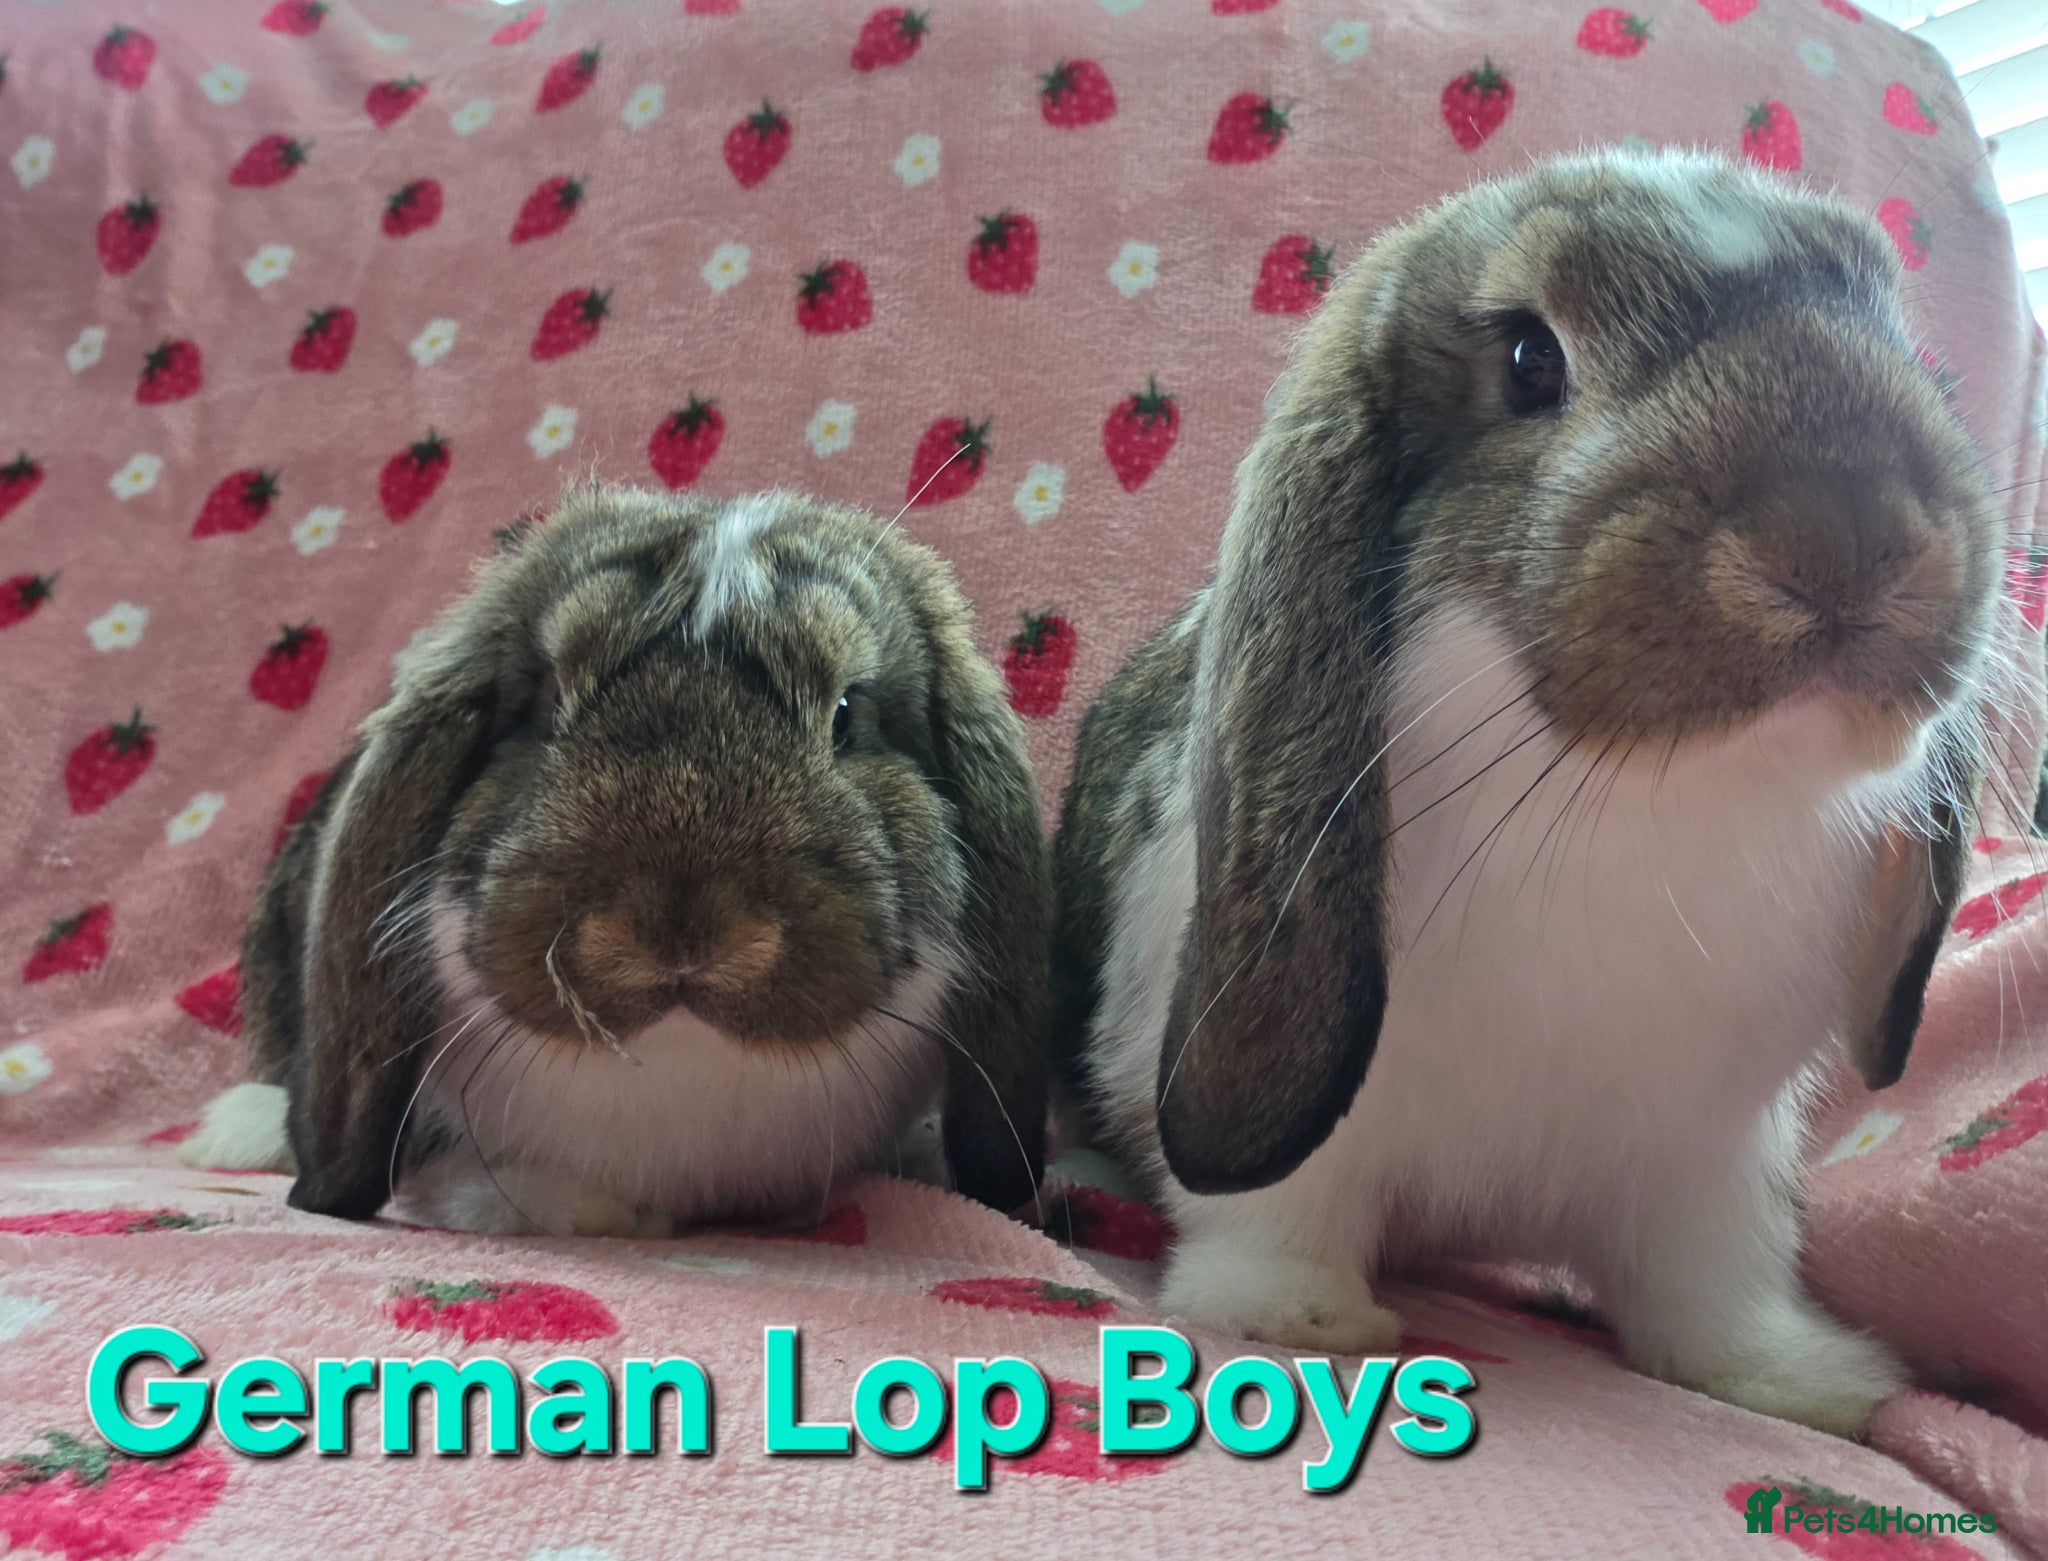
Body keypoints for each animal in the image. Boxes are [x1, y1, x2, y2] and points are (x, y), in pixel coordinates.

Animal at [1050, 146, 2004, 1438]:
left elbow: (1710, 1283)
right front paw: (1295, 1318)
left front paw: (1797, 1381)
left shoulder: (1710, 1162)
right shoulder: (1285, 1127)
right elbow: (1274, 1212)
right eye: (1527, 359)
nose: (1843, 534)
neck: (1655, 805)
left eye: (1898, 337)